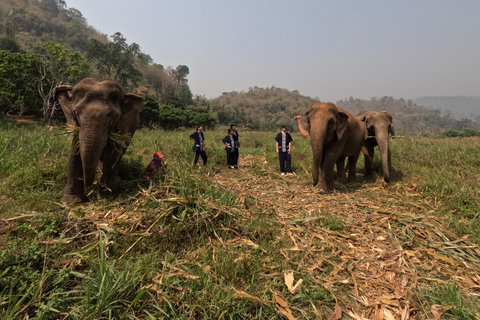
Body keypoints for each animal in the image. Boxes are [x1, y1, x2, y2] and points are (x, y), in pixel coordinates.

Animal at [54, 76, 144, 204]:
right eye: (76, 112)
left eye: (114, 116)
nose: (89, 187)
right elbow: (74, 149)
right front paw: (70, 202)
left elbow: (112, 155)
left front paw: (105, 197)